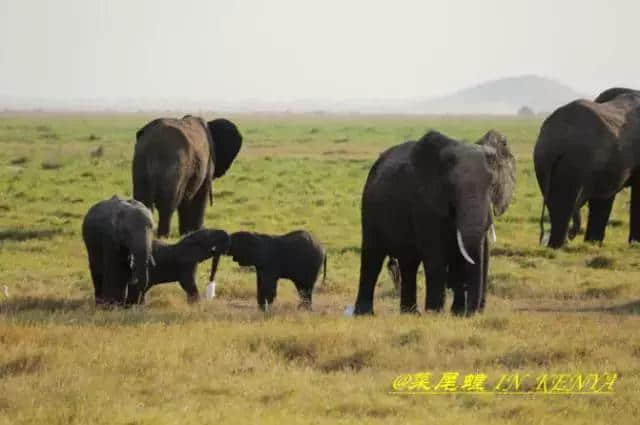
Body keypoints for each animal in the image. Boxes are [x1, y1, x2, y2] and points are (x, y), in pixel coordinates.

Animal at [352, 129, 516, 314]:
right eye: (451, 186)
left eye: (493, 185)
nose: (473, 313)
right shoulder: (424, 204)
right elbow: (435, 254)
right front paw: (435, 312)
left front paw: (456, 313)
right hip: (369, 207)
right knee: (372, 257)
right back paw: (365, 314)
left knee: (409, 263)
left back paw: (411, 313)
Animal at [532, 89, 640, 248]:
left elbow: (601, 199)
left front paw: (592, 244)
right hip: (574, 161)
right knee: (564, 205)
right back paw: (559, 245)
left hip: (543, 162)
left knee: (556, 203)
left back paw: (558, 244)